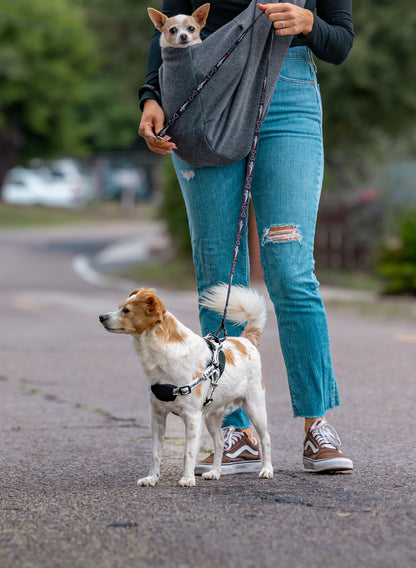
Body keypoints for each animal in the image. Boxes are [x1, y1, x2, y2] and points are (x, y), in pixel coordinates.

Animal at [98, 286, 272, 486]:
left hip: (254, 407)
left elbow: (188, 452)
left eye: (126, 310)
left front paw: (187, 478)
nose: (101, 317)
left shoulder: (193, 417)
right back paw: (215, 472)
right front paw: (152, 478)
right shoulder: (157, 416)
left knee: (266, 438)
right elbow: (156, 452)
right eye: (120, 307)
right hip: (212, 416)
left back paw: (267, 469)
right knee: (220, 442)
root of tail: (246, 341)